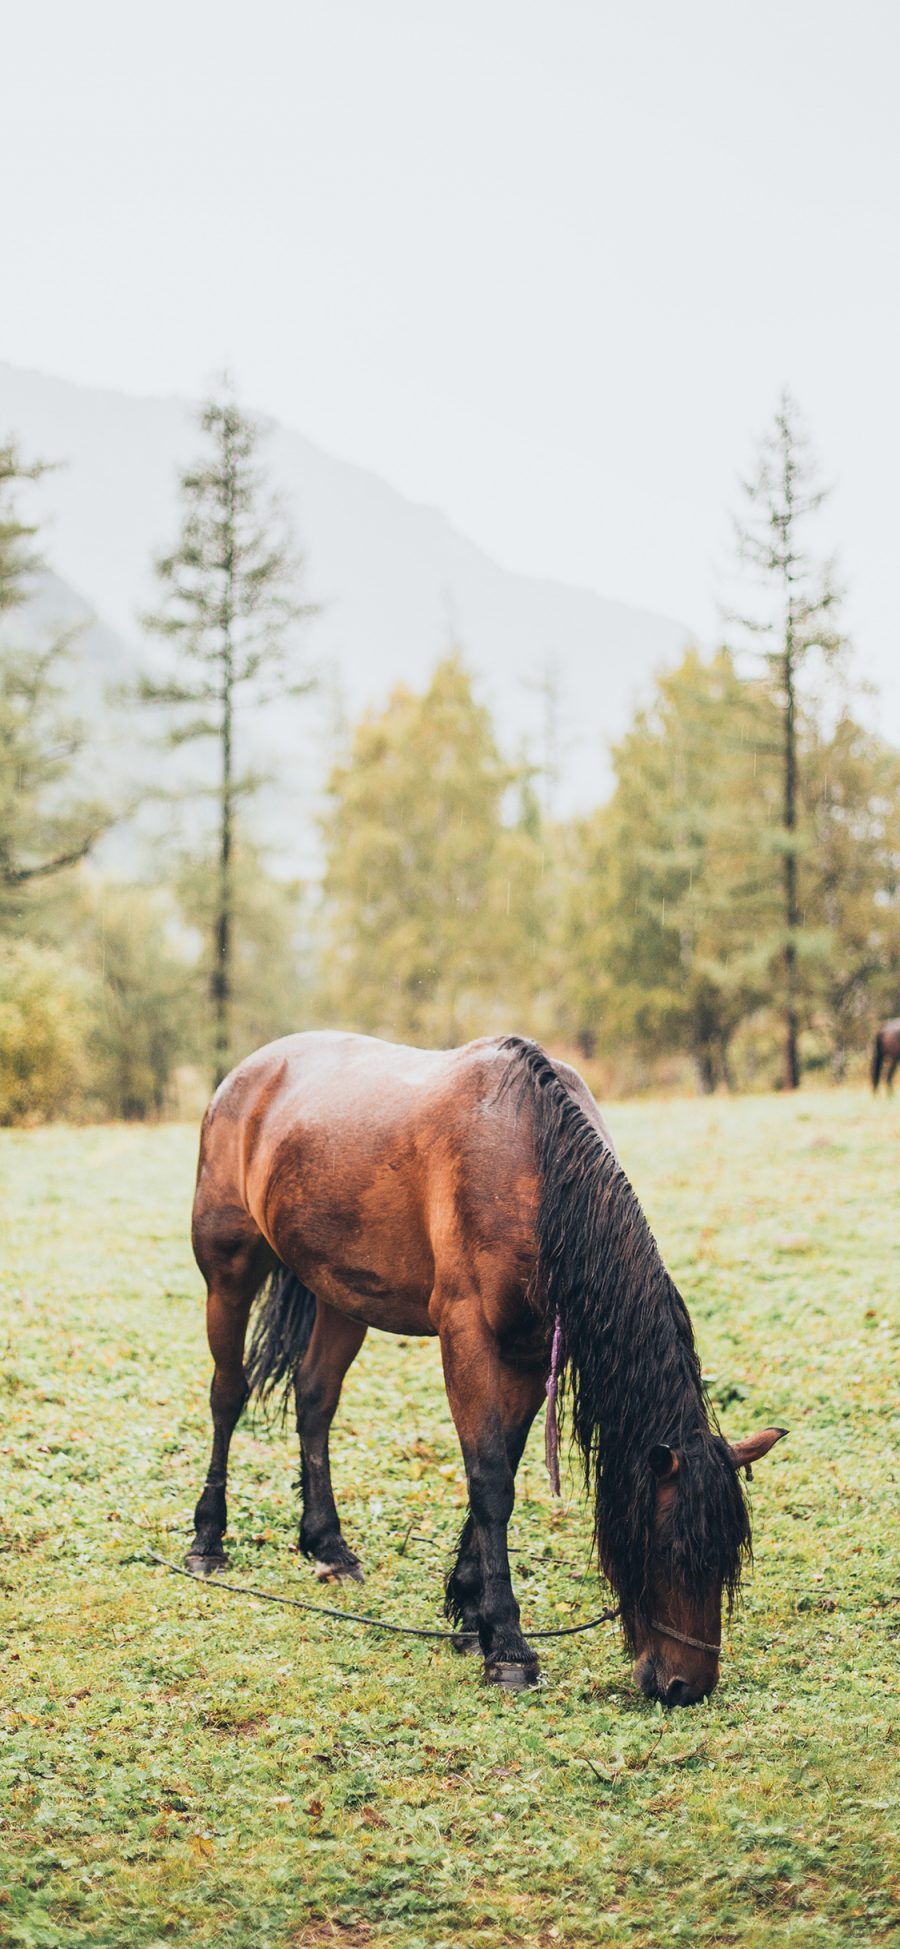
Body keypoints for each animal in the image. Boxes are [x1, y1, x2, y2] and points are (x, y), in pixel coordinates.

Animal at [186, 1036, 783, 1707]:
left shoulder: (528, 1352)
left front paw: (472, 1611)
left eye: (728, 1557)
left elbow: (505, 1466)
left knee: (315, 1401)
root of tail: (247, 1072)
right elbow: (491, 1480)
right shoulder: (466, 1334)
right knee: (227, 1395)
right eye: (670, 1549)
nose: (687, 1685)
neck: (535, 1166)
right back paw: (207, 1541)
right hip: (229, 1271)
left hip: (340, 1295)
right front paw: (509, 1647)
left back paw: (330, 1547)